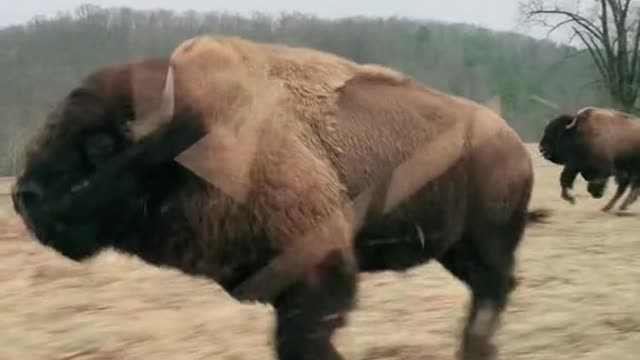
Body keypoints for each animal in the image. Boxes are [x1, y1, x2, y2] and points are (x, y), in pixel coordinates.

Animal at [11, 35, 552, 360]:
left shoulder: (317, 267)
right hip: (455, 250)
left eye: (101, 145)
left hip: (487, 243)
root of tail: (511, 142)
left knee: (493, 290)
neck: (198, 135)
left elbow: (302, 338)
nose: (23, 196)